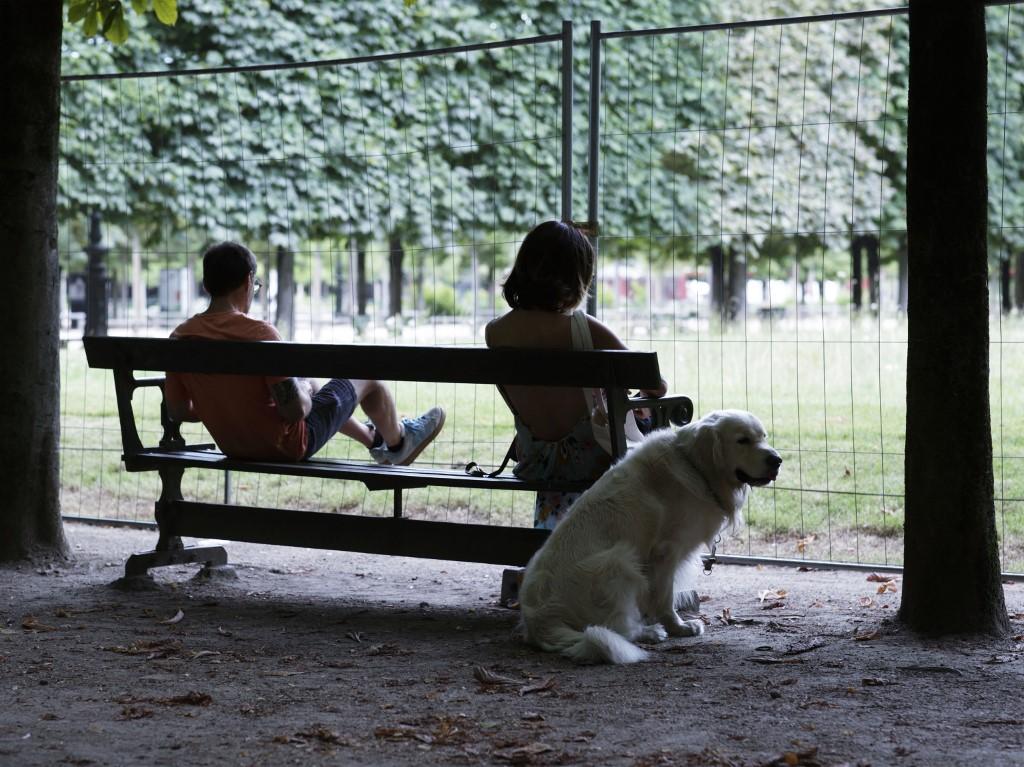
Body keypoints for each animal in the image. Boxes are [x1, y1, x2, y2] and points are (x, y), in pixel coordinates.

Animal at [520, 407, 782, 663]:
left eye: (763, 437)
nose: (777, 460)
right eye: (742, 440)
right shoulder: (666, 551)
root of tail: (538, 617)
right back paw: (649, 632)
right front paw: (679, 627)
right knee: (618, 628)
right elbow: (665, 598)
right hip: (618, 561)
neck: (694, 466)